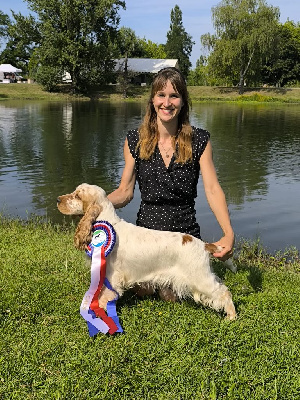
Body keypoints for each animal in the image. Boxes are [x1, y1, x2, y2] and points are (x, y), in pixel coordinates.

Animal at [56, 183, 237, 320]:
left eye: (77, 196)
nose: (58, 199)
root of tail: (204, 245)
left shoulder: (112, 276)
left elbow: (105, 297)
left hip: (200, 278)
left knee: (224, 292)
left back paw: (231, 317)